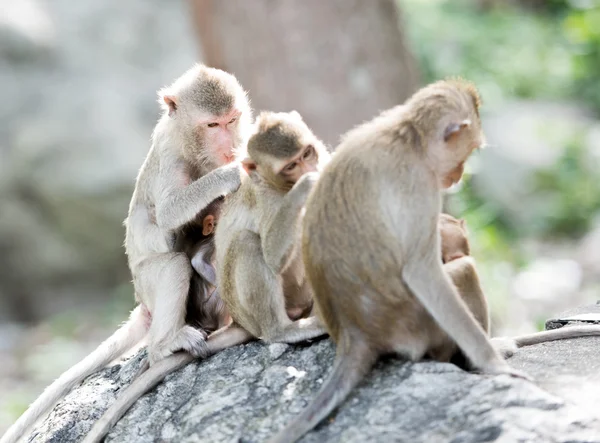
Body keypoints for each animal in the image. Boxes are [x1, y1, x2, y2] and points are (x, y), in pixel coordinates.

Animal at [0, 62, 251, 443]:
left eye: (232, 120)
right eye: (212, 125)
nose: (228, 146)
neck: (193, 146)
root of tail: (144, 304)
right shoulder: (171, 159)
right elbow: (169, 213)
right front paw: (231, 173)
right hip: (147, 282)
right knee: (173, 264)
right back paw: (165, 344)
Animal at [80, 110, 332, 443]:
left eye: (307, 153)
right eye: (290, 166)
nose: (308, 169)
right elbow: (269, 252)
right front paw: (303, 185)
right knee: (216, 253)